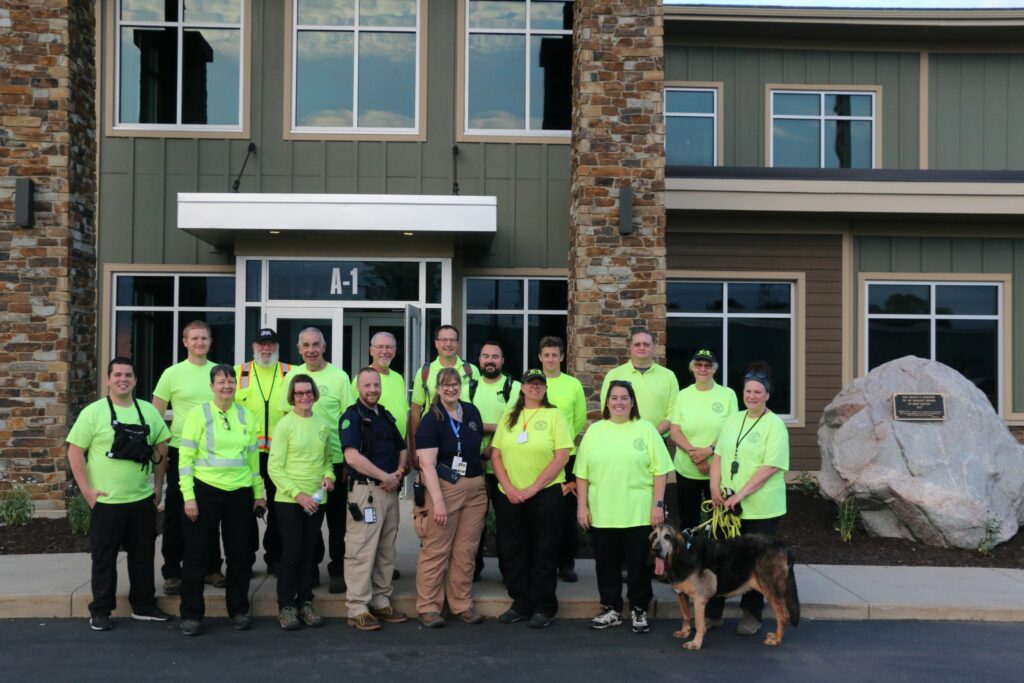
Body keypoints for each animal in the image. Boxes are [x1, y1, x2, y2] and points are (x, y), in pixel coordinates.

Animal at [647, 524, 798, 651]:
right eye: (654, 536)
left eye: (667, 536)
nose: (656, 550)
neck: (682, 553)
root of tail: (781, 545)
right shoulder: (681, 594)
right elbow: (685, 616)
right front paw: (685, 632)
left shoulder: (699, 599)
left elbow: (700, 624)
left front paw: (696, 643)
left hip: (771, 589)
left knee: (783, 616)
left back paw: (776, 640)